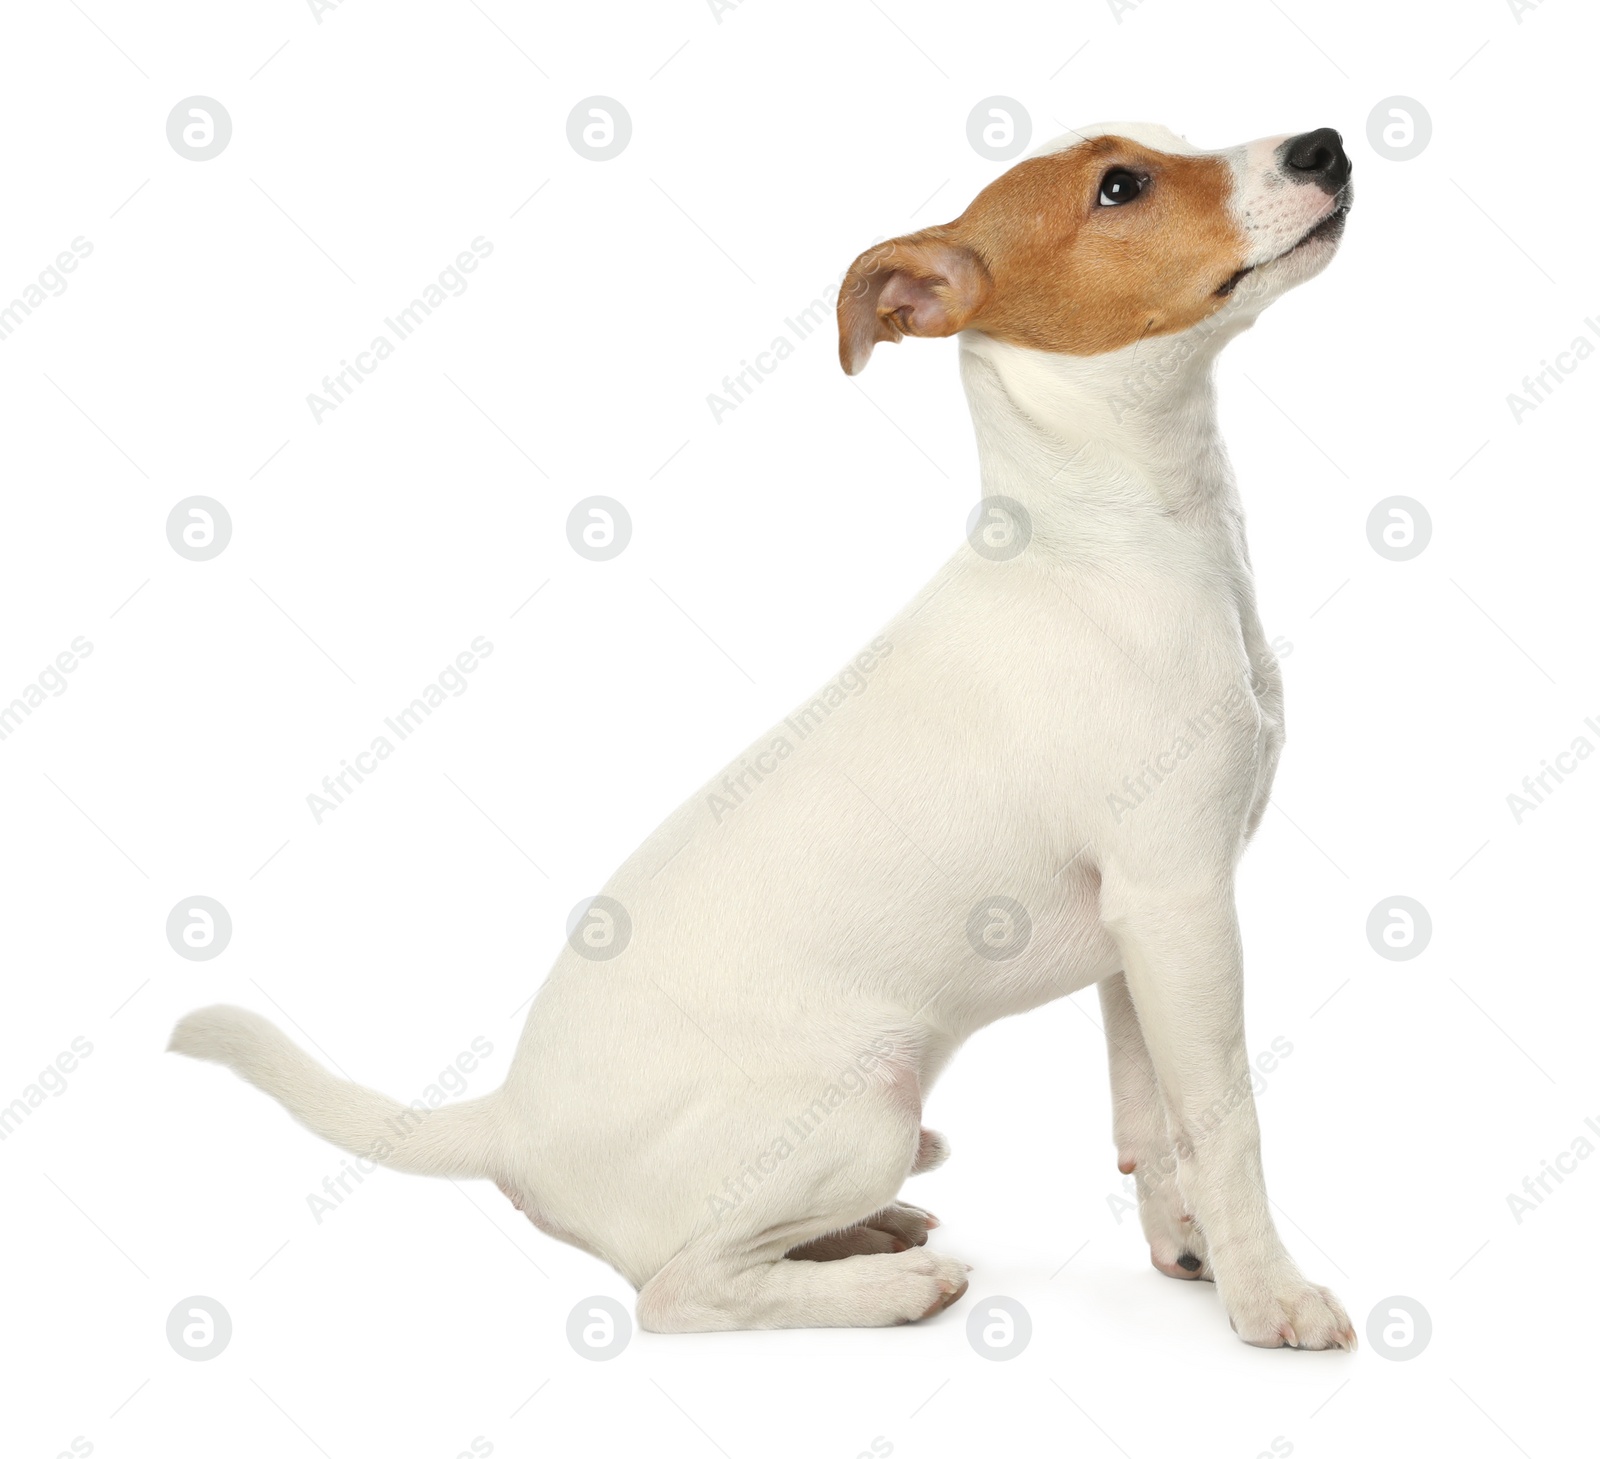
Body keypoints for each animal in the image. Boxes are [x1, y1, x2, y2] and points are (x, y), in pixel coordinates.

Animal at [172, 119, 1350, 1350]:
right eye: (1120, 186)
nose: (1324, 145)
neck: (1114, 542)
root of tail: (509, 1121)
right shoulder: (1181, 905)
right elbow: (1226, 1118)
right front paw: (1271, 1295)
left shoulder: (1140, 930)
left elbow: (1150, 1119)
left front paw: (1191, 1252)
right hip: (865, 1100)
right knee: (680, 1287)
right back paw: (886, 1284)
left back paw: (874, 1233)